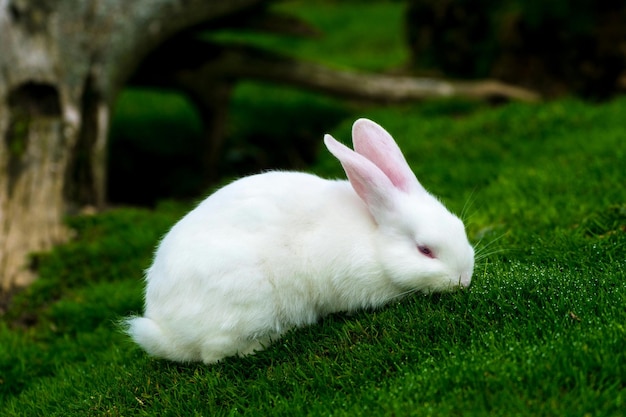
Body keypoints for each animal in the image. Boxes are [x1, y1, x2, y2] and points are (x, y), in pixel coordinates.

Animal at [124, 118, 470, 362]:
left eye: (460, 226)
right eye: (425, 250)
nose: (464, 280)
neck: (374, 240)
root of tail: (163, 328)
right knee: (214, 354)